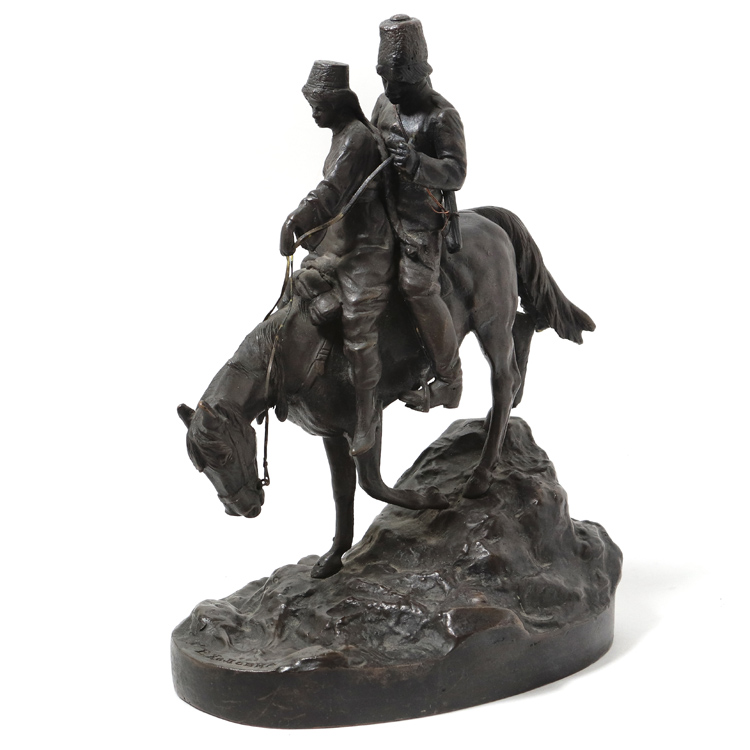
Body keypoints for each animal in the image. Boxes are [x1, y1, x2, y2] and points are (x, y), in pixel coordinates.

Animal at [177, 206, 595, 578]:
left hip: (490, 323)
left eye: (225, 453)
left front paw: (430, 500)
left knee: (503, 380)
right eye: (202, 467)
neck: (286, 354)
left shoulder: (367, 419)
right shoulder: (332, 435)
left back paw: (480, 475)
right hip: (500, 325)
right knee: (523, 336)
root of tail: (483, 218)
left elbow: (372, 484)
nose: (242, 508)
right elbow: (342, 494)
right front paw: (333, 560)